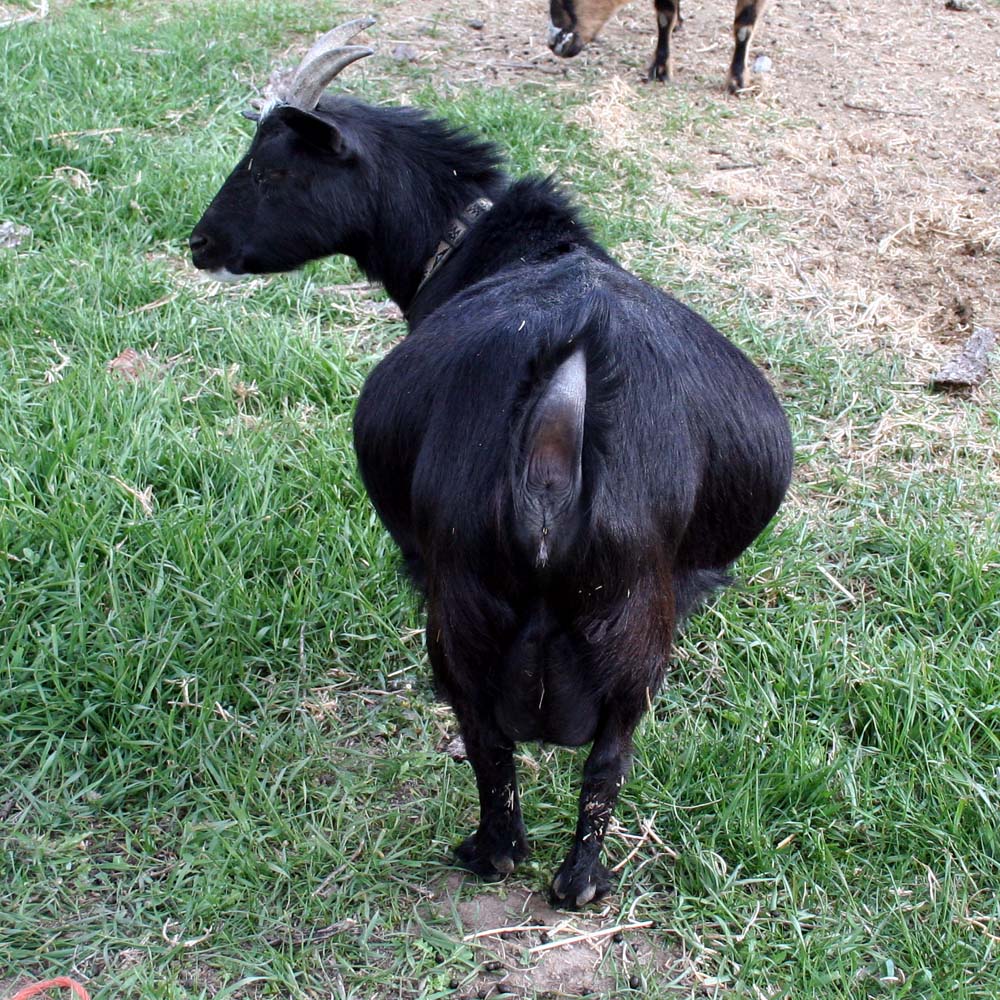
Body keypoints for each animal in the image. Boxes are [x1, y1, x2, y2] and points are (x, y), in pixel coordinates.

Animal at [190, 19, 793, 908]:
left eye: (272, 167)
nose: (201, 244)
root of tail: (564, 397)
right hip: (630, 626)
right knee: (608, 756)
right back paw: (582, 882)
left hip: (461, 604)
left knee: (486, 735)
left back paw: (490, 851)